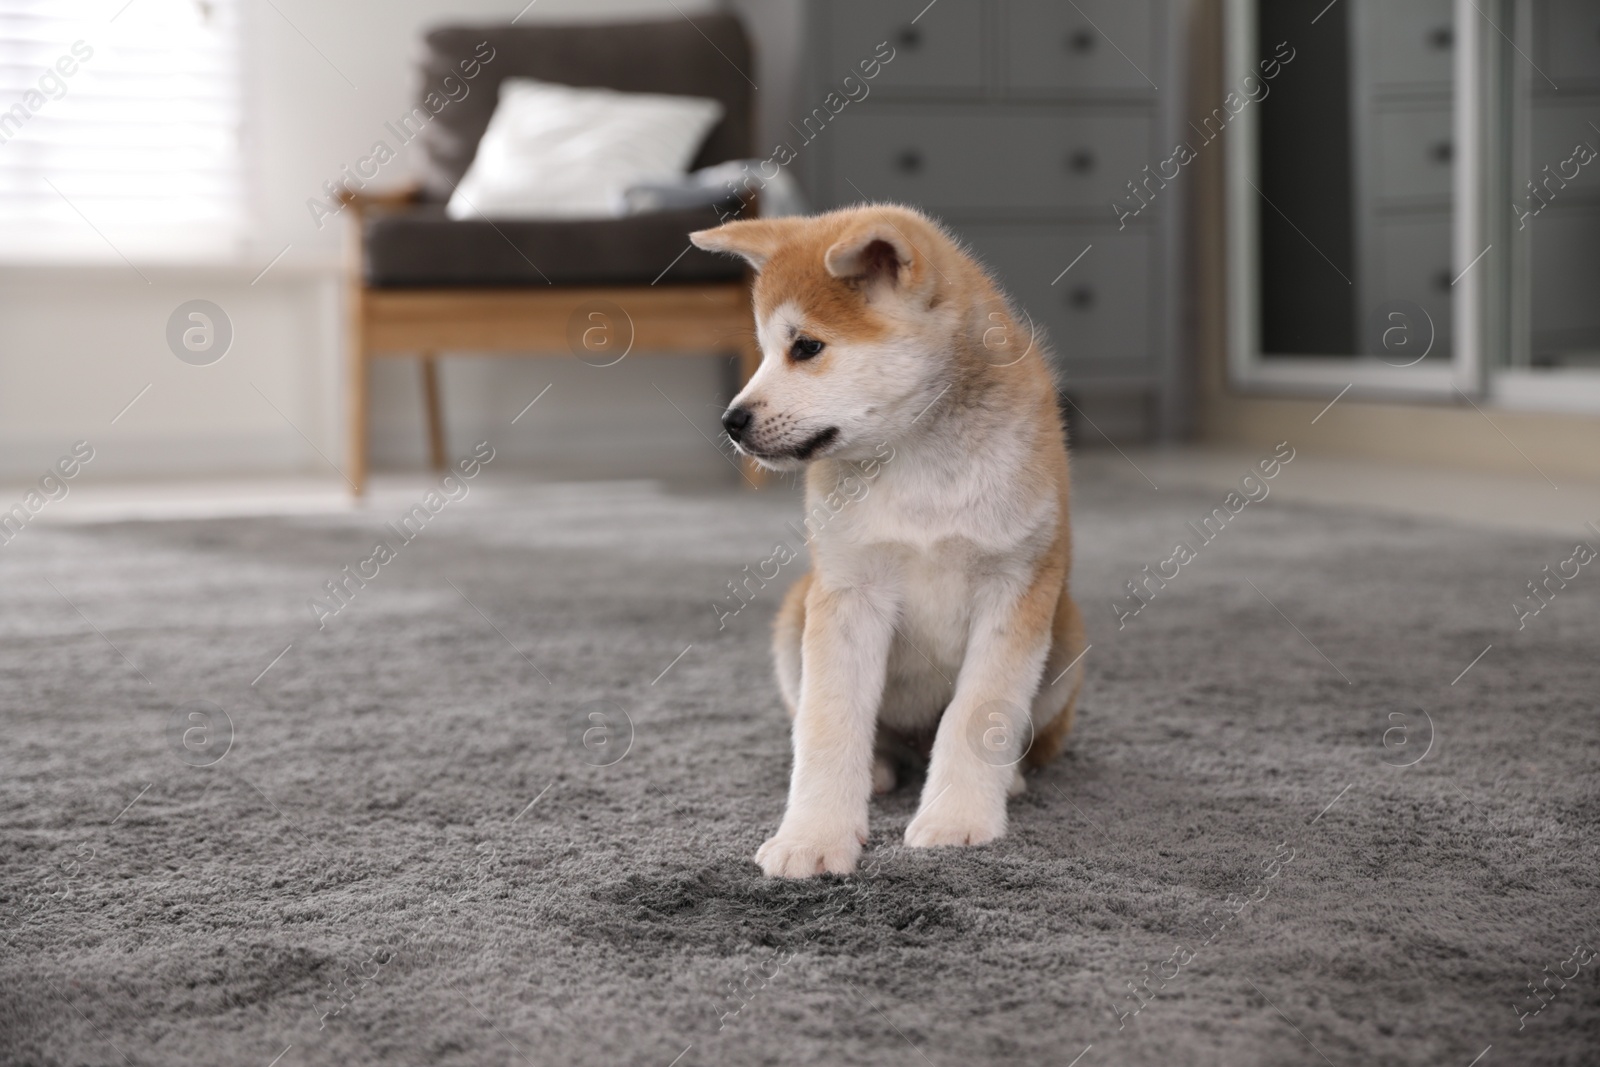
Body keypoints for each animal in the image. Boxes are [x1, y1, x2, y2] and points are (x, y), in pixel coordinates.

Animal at [691, 204, 1088, 883]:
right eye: (766, 349)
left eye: (806, 347)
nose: (731, 422)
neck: (919, 462)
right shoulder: (850, 591)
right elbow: (828, 724)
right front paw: (814, 835)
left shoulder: (1016, 586)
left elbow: (977, 712)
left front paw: (958, 818)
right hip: (795, 616)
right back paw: (877, 768)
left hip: (1065, 630)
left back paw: (1005, 779)